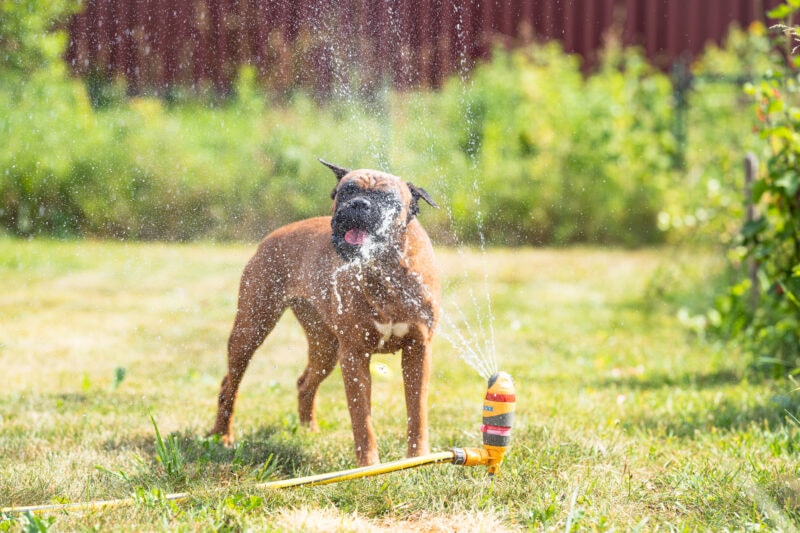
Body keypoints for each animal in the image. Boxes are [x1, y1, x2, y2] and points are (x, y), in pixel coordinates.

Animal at [209, 159, 440, 466]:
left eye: (388, 198)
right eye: (346, 191)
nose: (358, 204)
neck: (383, 268)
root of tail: (274, 235)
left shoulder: (418, 350)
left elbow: (417, 411)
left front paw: (417, 458)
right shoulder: (354, 355)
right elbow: (361, 419)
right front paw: (369, 465)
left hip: (325, 348)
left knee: (304, 383)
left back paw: (308, 432)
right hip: (251, 329)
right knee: (229, 385)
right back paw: (221, 436)